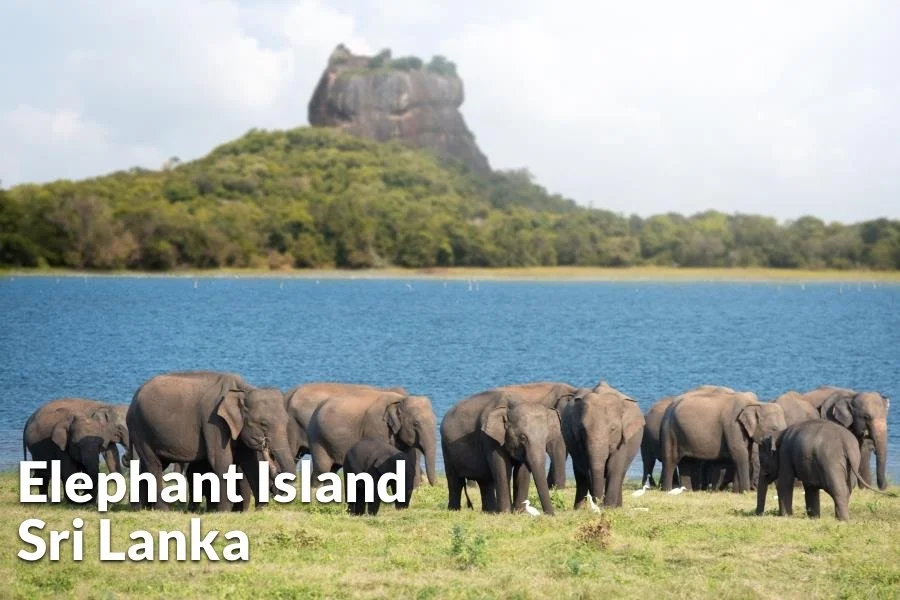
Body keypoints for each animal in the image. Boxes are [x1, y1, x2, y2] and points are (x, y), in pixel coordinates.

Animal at [127, 371, 294, 511]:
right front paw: (223, 512)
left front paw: (261, 510)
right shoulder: (214, 422)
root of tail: (133, 397)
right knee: (153, 464)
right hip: (140, 427)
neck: (244, 389)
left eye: (287, 421)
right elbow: (221, 461)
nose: (264, 443)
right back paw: (163, 510)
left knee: (147, 465)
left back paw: (140, 509)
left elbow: (250, 463)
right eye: (263, 424)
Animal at [305, 389, 436, 486]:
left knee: (332, 470)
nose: (433, 484)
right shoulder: (376, 426)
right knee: (322, 469)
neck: (400, 399)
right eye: (416, 424)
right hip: (316, 438)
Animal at [756, 420, 890, 520]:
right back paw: (841, 517)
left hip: (831, 463)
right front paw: (814, 518)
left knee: (838, 489)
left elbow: (785, 483)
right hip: (854, 462)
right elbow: (810, 488)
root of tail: (845, 443)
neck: (779, 433)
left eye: (762, 459)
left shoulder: (785, 454)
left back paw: (843, 520)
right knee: (848, 489)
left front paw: (786, 516)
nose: (758, 514)